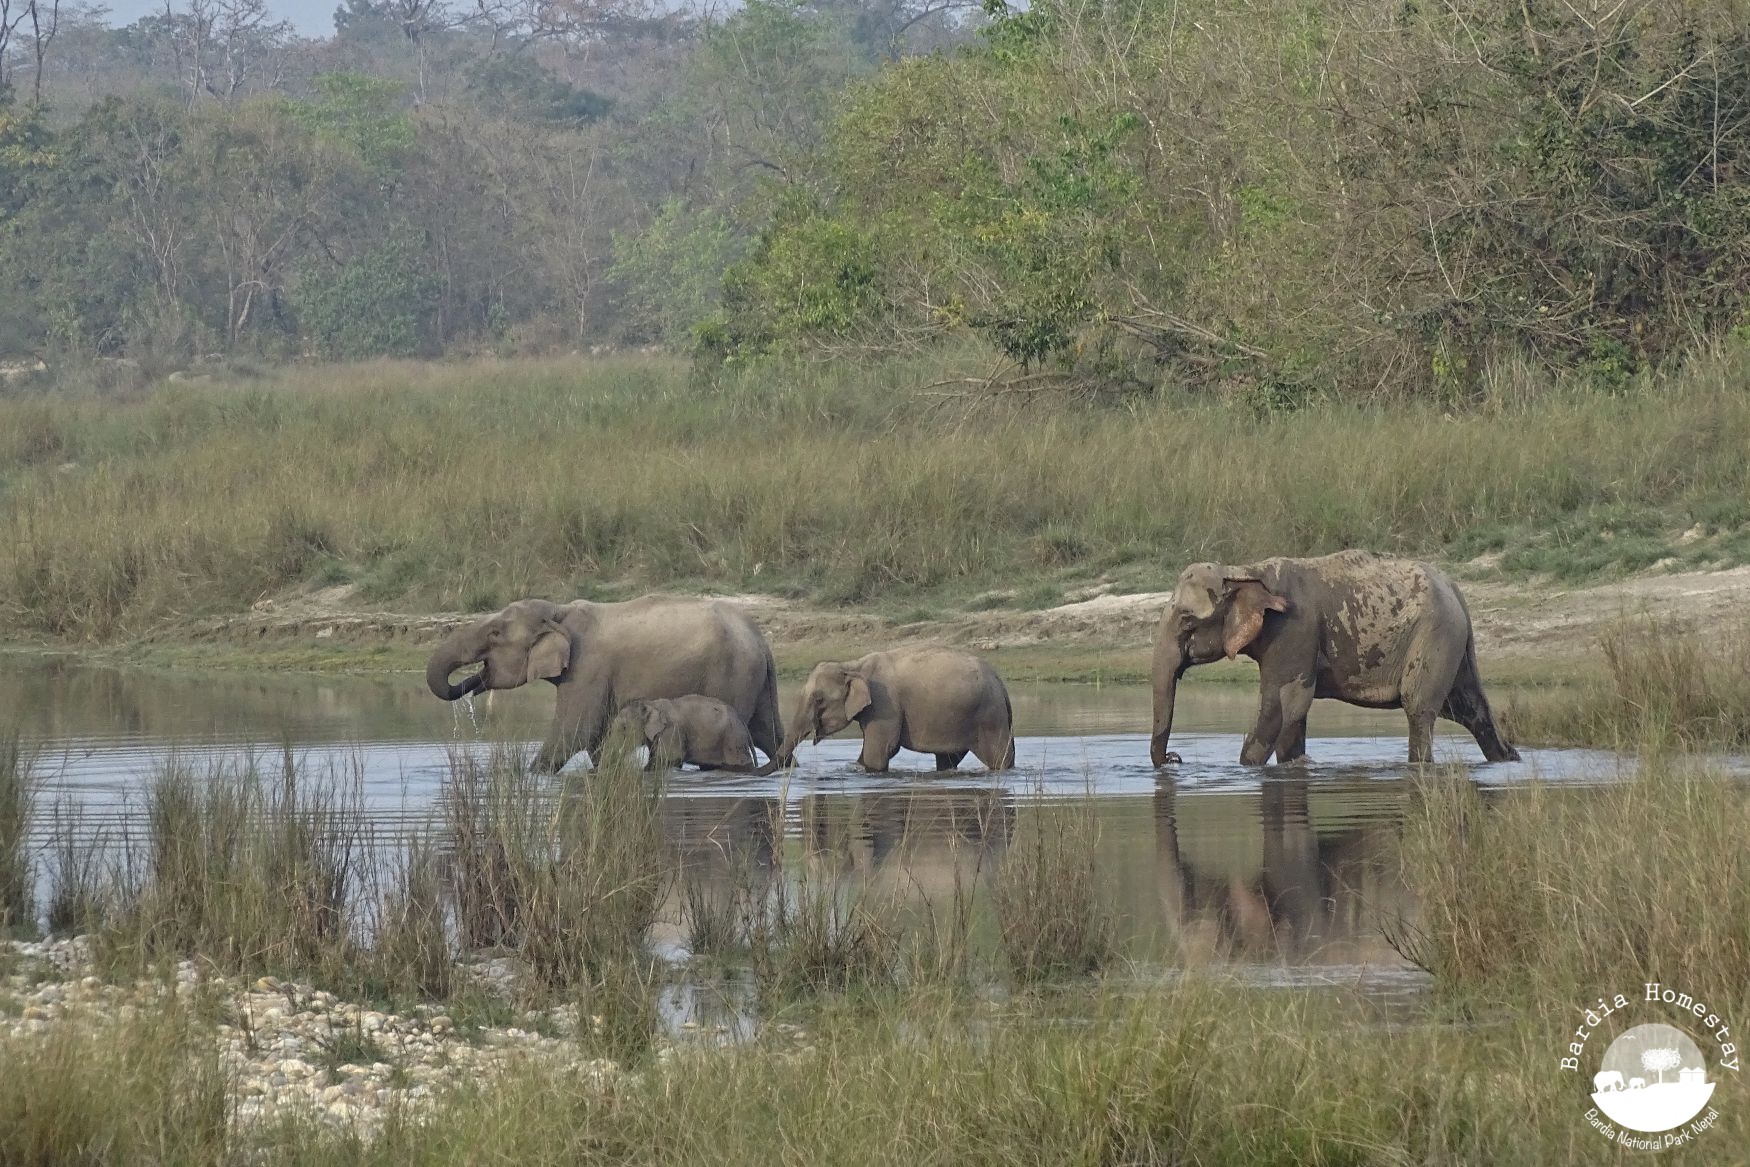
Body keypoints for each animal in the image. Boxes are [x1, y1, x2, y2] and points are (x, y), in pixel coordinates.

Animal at [605, 692, 763, 776]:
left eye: (624, 728)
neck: (651, 704)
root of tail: (741, 721)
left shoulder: (672, 731)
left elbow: (669, 759)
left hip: (733, 738)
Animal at [766, 647, 1015, 776]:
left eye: (818, 699)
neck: (853, 666)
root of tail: (1000, 682)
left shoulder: (884, 705)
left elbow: (879, 752)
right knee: (948, 759)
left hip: (989, 716)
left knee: (999, 758)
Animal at [1148, 556, 1519, 769]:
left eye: (1186, 621)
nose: (1174, 758)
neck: (1244, 571)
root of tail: (1456, 590)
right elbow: (1294, 713)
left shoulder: (1294, 629)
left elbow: (1279, 706)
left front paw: (1248, 768)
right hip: (1453, 642)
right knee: (1470, 709)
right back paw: (1508, 759)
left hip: (1435, 635)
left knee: (1419, 708)